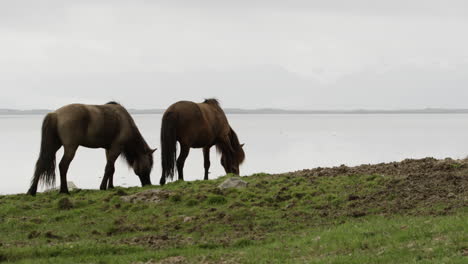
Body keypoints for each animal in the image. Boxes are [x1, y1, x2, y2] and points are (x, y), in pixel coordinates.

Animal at [27, 102, 155, 195]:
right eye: (149, 165)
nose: (148, 184)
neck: (125, 121)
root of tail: (55, 114)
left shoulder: (108, 149)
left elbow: (112, 169)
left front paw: (111, 186)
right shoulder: (116, 148)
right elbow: (108, 168)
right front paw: (103, 187)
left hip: (54, 145)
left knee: (41, 163)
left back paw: (32, 191)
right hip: (70, 147)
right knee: (63, 166)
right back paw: (64, 191)